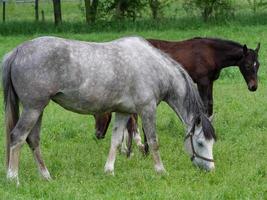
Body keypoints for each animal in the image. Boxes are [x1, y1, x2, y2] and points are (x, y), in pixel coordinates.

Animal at [2, 36, 218, 184]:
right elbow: (153, 142)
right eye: (200, 143)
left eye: (211, 142)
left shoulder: (123, 112)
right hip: (33, 109)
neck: (154, 68)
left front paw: (109, 171)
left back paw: (46, 176)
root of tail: (18, 50)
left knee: (33, 140)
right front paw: (160, 171)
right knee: (17, 137)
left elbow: (115, 141)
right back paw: (13, 178)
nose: (210, 168)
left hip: (38, 109)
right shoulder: (147, 109)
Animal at [94, 37, 262, 153]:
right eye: (248, 65)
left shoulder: (209, 82)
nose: (253, 87)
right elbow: (205, 106)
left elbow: (210, 105)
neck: (211, 53)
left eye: (258, 65)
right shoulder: (203, 81)